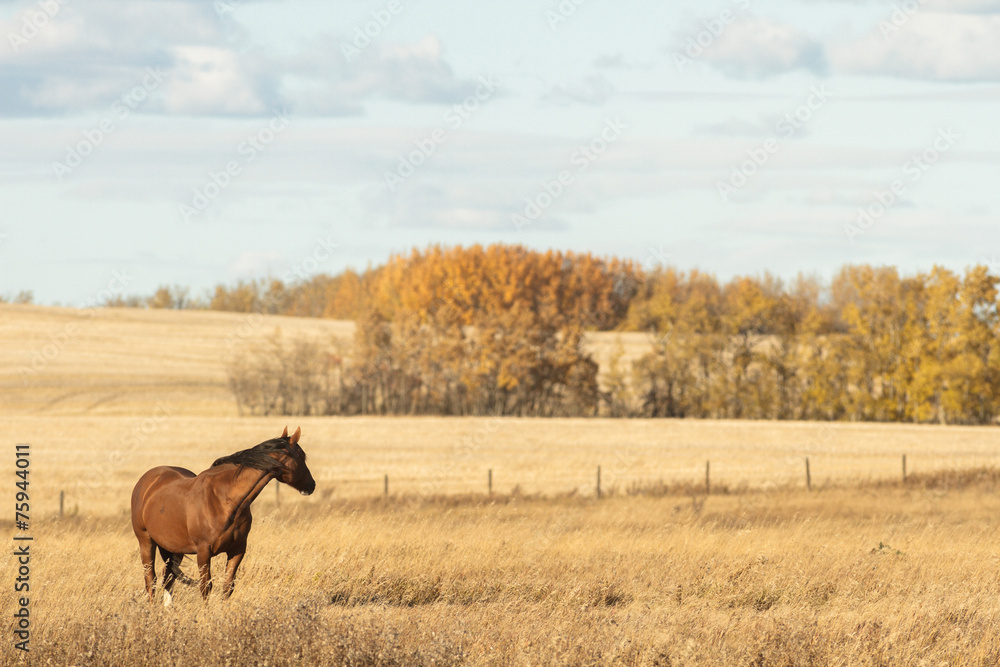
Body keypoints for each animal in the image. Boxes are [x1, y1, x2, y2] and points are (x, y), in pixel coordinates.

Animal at [129, 426, 315, 604]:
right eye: (301, 457)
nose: (311, 485)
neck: (226, 500)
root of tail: (147, 480)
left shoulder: (237, 549)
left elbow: (228, 586)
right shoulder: (203, 552)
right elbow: (206, 587)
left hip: (174, 548)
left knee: (168, 578)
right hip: (146, 541)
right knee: (151, 579)